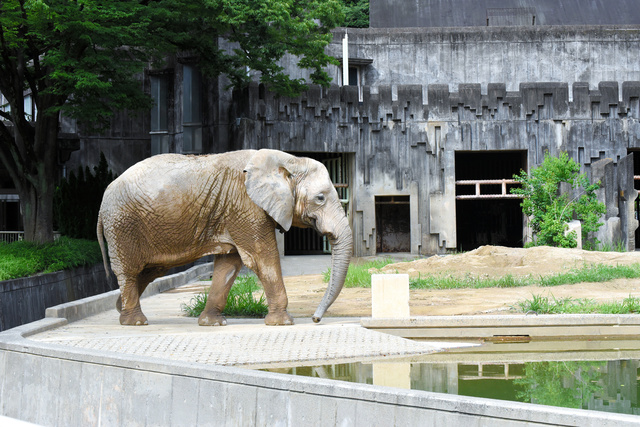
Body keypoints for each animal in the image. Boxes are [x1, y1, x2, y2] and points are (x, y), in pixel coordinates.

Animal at [97, 150, 352, 328]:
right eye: (320, 198)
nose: (315, 319)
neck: (289, 160)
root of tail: (103, 201)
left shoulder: (236, 211)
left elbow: (228, 264)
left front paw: (213, 324)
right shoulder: (246, 206)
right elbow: (262, 258)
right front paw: (283, 323)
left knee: (151, 270)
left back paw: (120, 309)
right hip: (122, 224)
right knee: (130, 270)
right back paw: (136, 322)